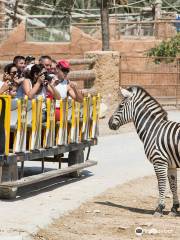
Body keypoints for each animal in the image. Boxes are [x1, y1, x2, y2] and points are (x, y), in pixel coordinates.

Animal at [108, 86, 180, 216]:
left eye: (120, 106)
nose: (109, 123)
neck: (153, 130)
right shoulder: (171, 164)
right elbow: (173, 185)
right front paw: (174, 208)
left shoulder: (159, 161)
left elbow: (161, 184)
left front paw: (159, 208)